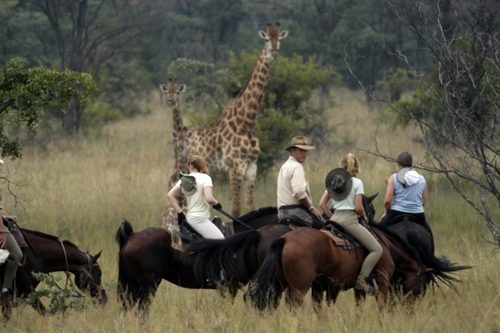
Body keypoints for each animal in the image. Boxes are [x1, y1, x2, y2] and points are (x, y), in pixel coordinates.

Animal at [186, 22, 288, 217]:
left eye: (279, 39)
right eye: (266, 39)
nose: (274, 51)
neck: (246, 122)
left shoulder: (252, 167)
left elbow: (249, 207)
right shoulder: (235, 167)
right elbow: (235, 209)